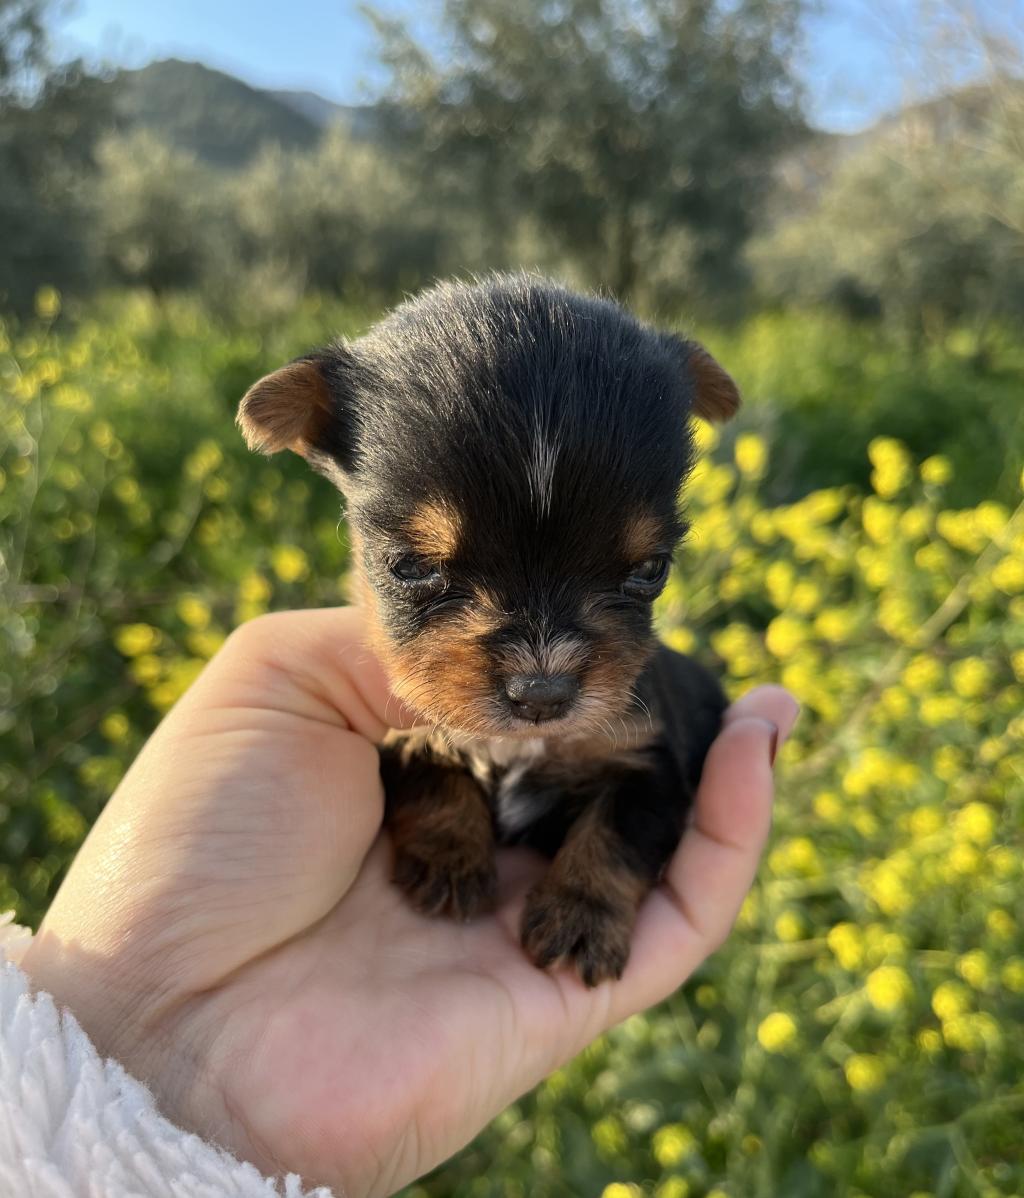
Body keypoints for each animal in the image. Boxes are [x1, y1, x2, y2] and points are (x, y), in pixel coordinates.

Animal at [237, 274, 739, 985]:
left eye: (651, 569)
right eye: (412, 566)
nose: (544, 695)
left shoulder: (648, 759)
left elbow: (616, 835)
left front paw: (579, 920)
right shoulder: (402, 726)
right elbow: (430, 770)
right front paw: (450, 865)